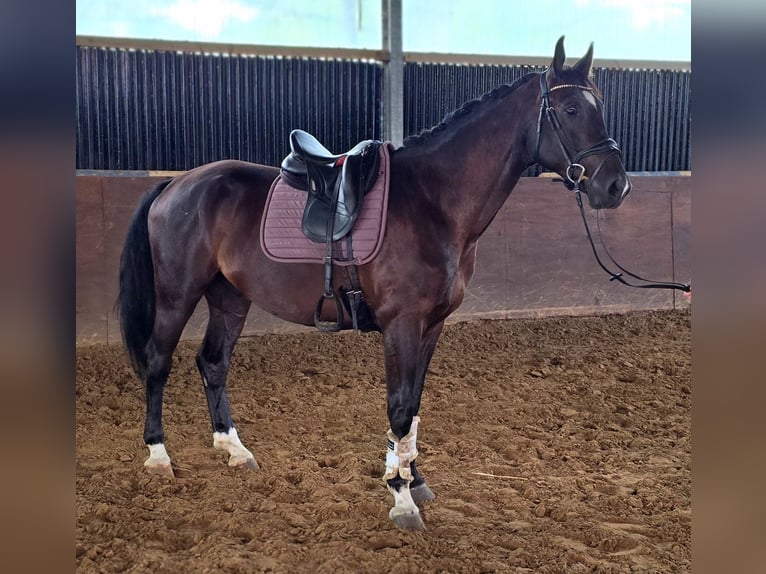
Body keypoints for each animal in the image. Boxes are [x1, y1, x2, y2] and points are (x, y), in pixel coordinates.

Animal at [118, 37, 630, 531]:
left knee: (213, 363)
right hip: (178, 294)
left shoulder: (431, 326)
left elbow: (414, 407)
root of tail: (176, 185)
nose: (615, 186)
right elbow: (399, 407)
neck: (431, 201)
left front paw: (413, 479)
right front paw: (401, 499)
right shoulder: (401, 323)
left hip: (230, 298)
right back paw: (159, 456)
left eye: (601, 103)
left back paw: (233, 449)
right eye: (570, 109)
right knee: (158, 362)